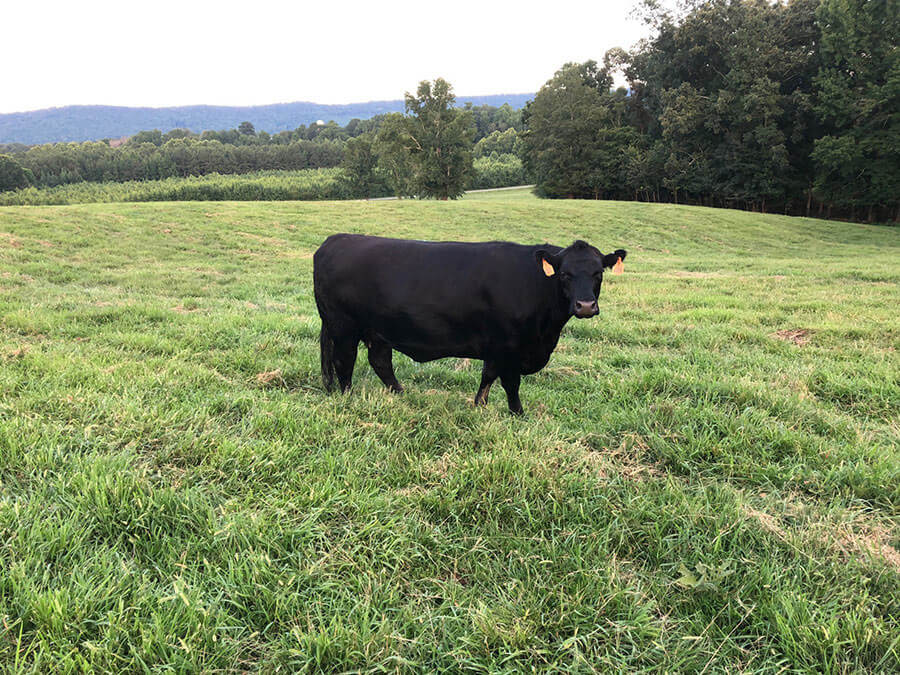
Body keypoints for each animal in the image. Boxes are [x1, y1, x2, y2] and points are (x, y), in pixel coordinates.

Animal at [314, 235, 624, 414]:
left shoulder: (497, 347)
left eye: (598, 273)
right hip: (343, 327)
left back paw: (401, 394)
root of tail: (335, 239)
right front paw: (517, 414)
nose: (585, 306)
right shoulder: (509, 345)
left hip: (378, 329)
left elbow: (488, 375)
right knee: (344, 363)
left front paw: (479, 405)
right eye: (565, 274)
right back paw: (348, 397)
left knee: (380, 362)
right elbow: (510, 383)